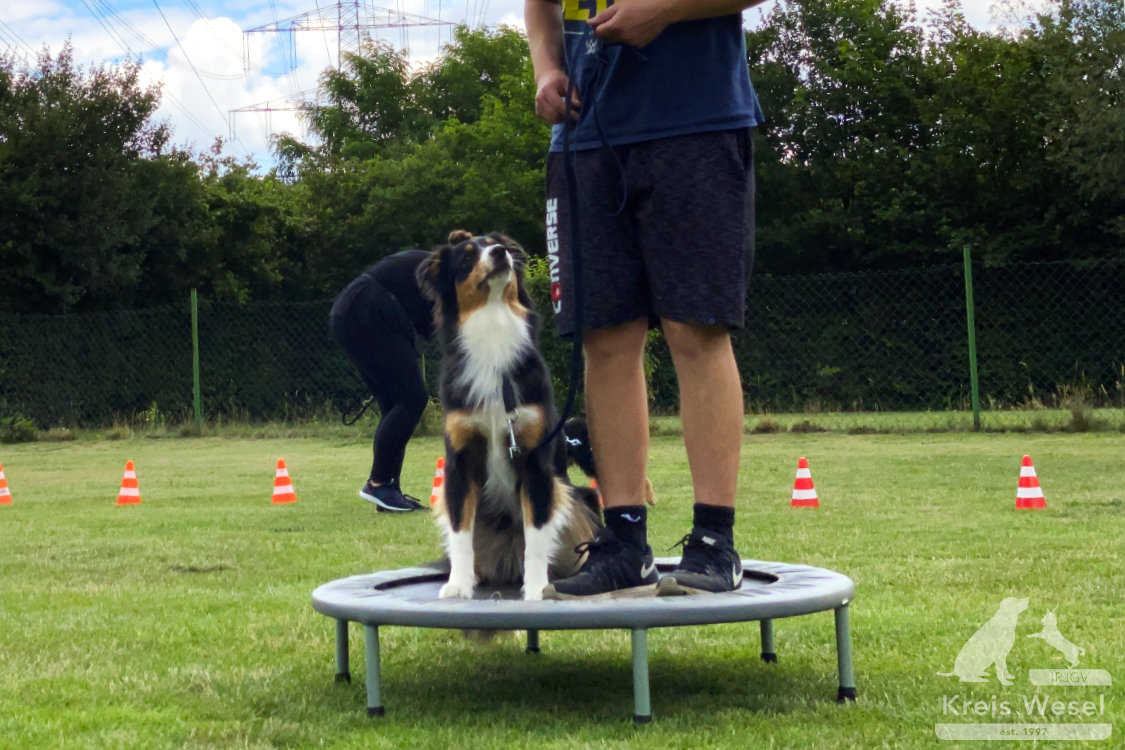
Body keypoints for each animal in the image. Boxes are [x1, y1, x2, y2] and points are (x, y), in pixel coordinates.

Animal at [418, 231, 603, 602]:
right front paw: (458, 585)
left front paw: (536, 589)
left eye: (494, 242)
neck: (493, 326)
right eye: (466, 257)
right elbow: (461, 533)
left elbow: (536, 537)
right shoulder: (459, 462)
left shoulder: (535, 464)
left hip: (578, 498)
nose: (500, 252)